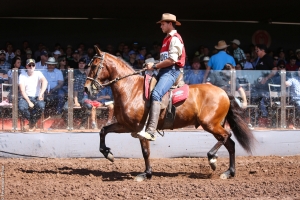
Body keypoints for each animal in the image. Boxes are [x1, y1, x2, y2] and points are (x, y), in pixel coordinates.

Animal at [84, 45, 255, 181]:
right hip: (215, 125)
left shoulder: (141, 129)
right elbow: (103, 130)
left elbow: (145, 151)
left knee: (227, 136)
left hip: (210, 124)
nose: (86, 88)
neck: (131, 89)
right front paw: (108, 153)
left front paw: (146, 174)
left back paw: (212, 158)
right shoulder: (126, 125)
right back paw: (229, 172)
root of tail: (224, 92)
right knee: (230, 144)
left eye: (95, 66)